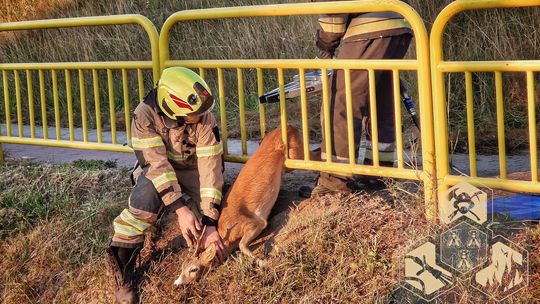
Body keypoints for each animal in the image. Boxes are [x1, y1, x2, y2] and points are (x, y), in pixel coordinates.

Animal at [175, 124, 306, 286]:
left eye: (193, 269)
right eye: (182, 267)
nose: (177, 283)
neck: (227, 235)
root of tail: (289, 126)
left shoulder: (255, 223)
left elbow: (242, 246)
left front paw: (263, 262)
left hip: (296, 154)